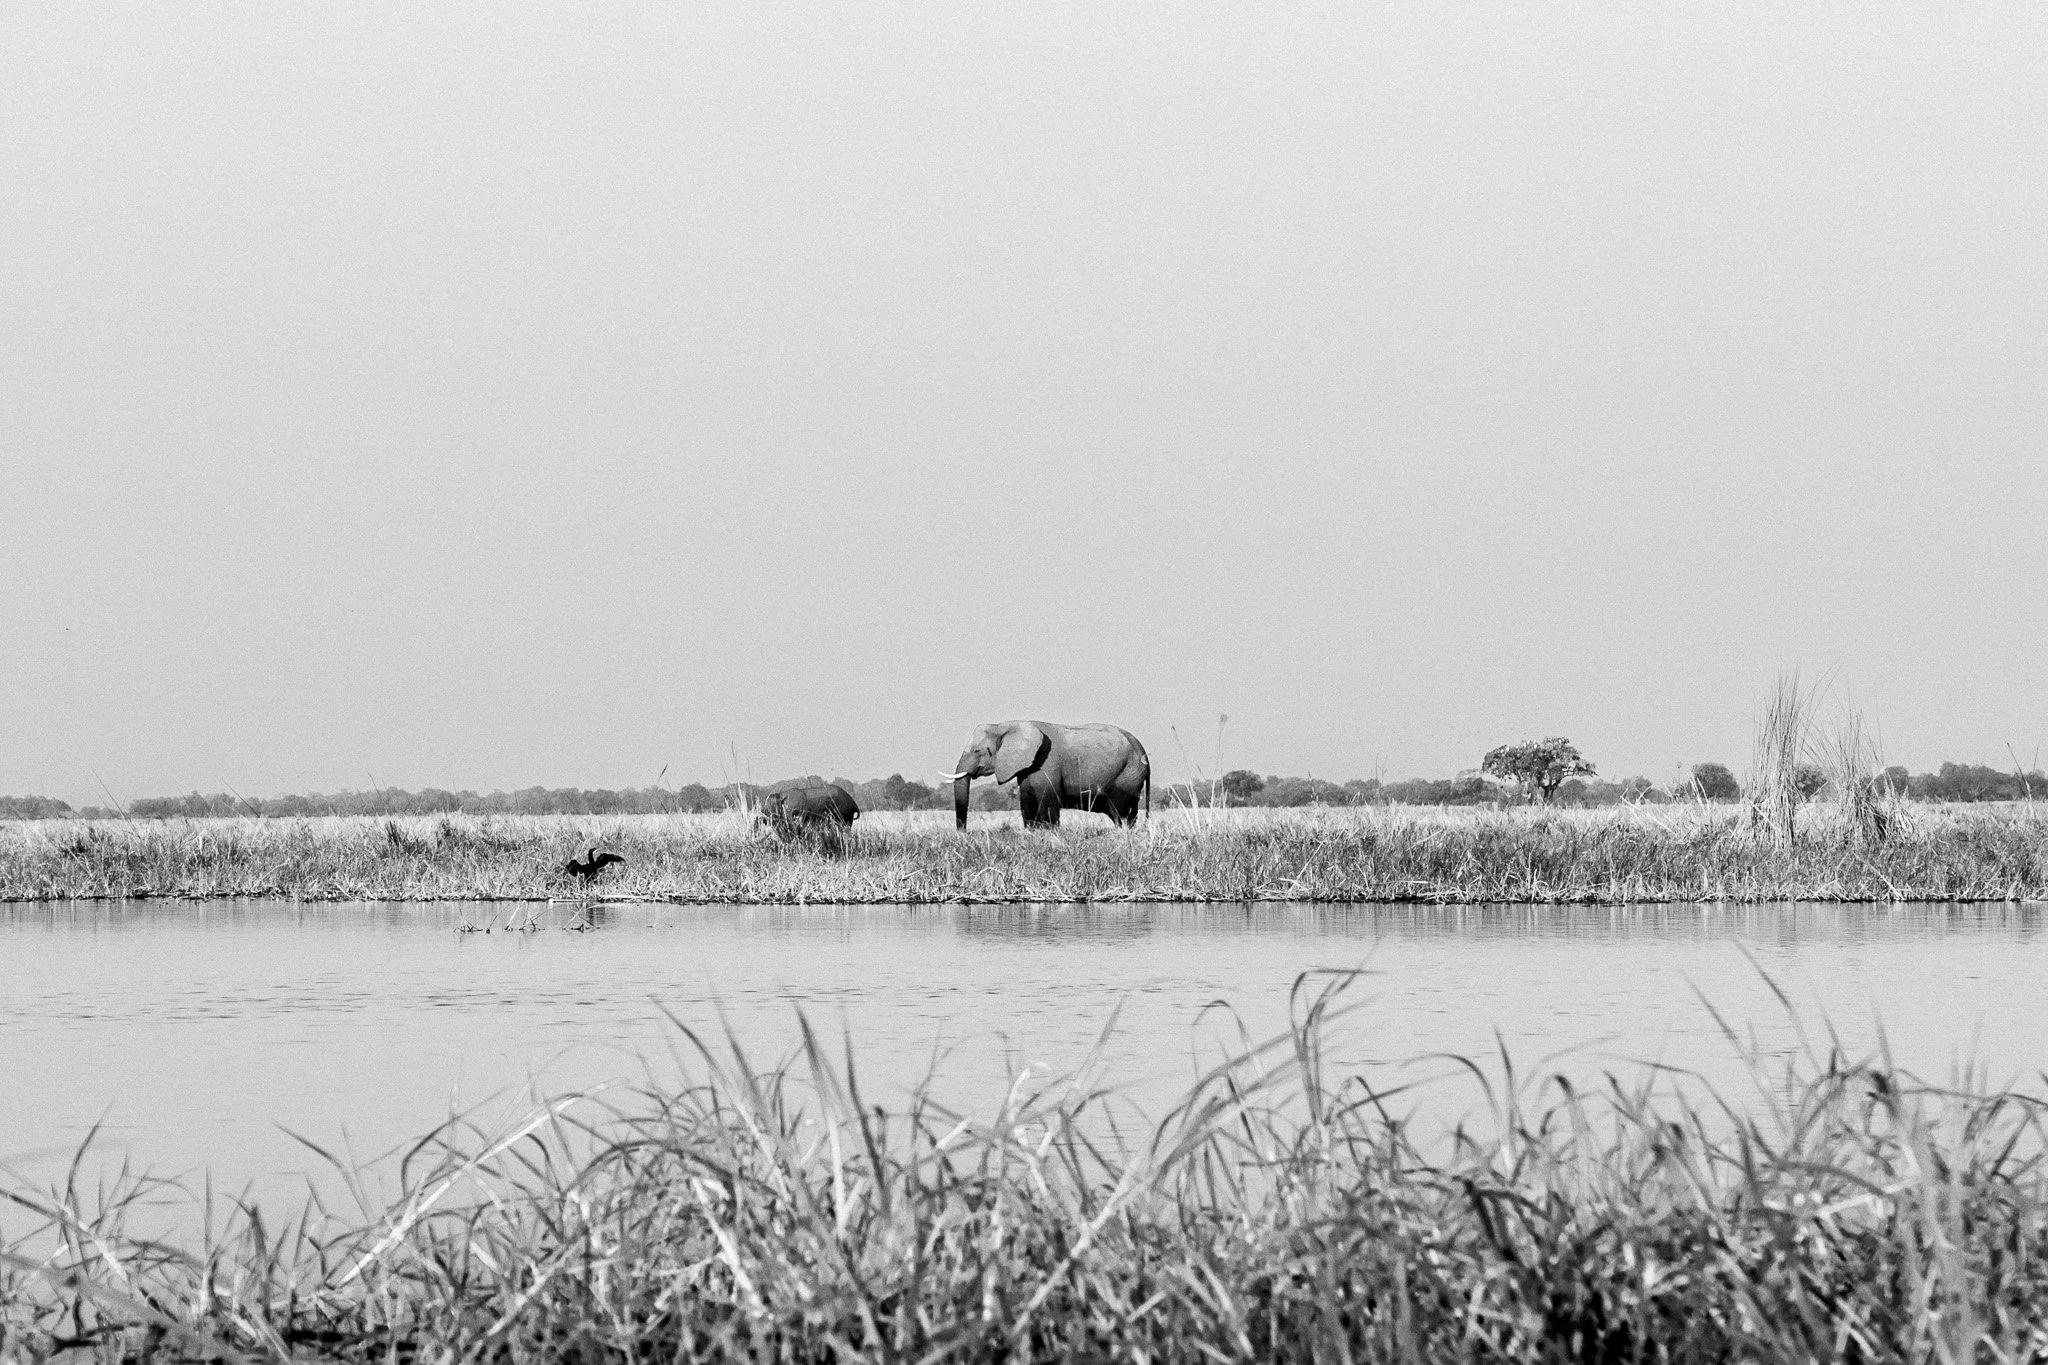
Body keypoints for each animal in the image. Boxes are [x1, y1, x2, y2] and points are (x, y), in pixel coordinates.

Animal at [944, 721, 1150, 830]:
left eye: (977, 751)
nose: (963, 834)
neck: (1006, 725)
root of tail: (1143, 751)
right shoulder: (1028, 768)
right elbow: (1027, 804)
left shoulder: (1047, 764)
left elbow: (1048, 803)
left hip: (1128, 774)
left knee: (1120, 812)